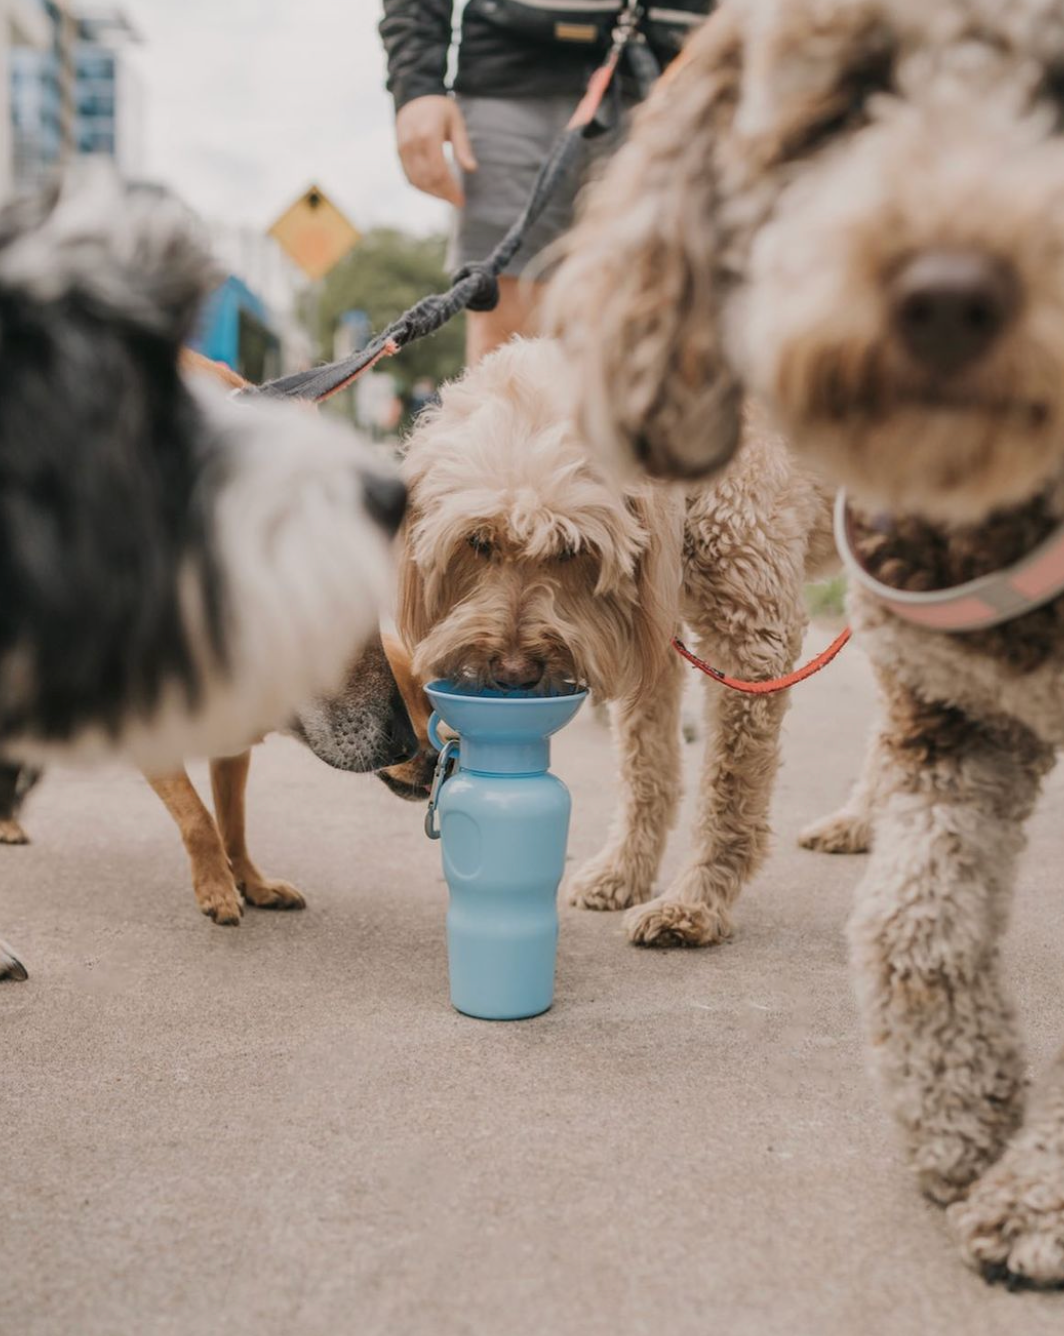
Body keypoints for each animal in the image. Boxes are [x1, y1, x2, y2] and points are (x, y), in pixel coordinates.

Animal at [395, 342, 828, 951]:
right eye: (478, 542)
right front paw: (626, 871)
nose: (511, 674)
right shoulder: (652, 633)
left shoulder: (754, 641)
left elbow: (729, 790)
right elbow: (647, 766)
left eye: (571, 547)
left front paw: (696, 903)